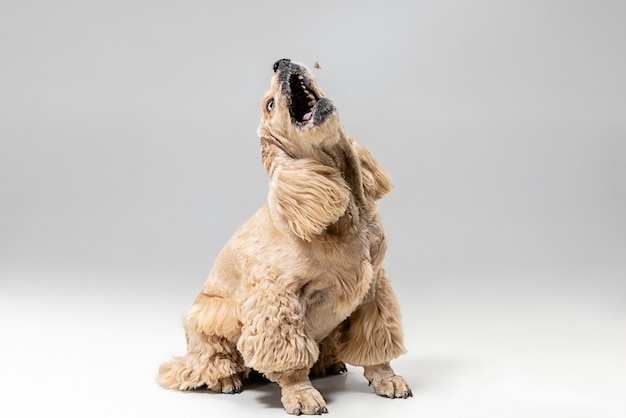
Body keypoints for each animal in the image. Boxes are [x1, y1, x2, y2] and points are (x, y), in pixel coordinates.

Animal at [158, 58, 408, 414]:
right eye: (270, 105)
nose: (281, 62)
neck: (348, 211)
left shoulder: (374, 287)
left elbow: (377, 341)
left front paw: (387, 378)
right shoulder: (278, 296)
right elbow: (289, 356)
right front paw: (300, 394)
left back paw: (328, 363)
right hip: (211, 316)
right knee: (201, 362)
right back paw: (226, 378)